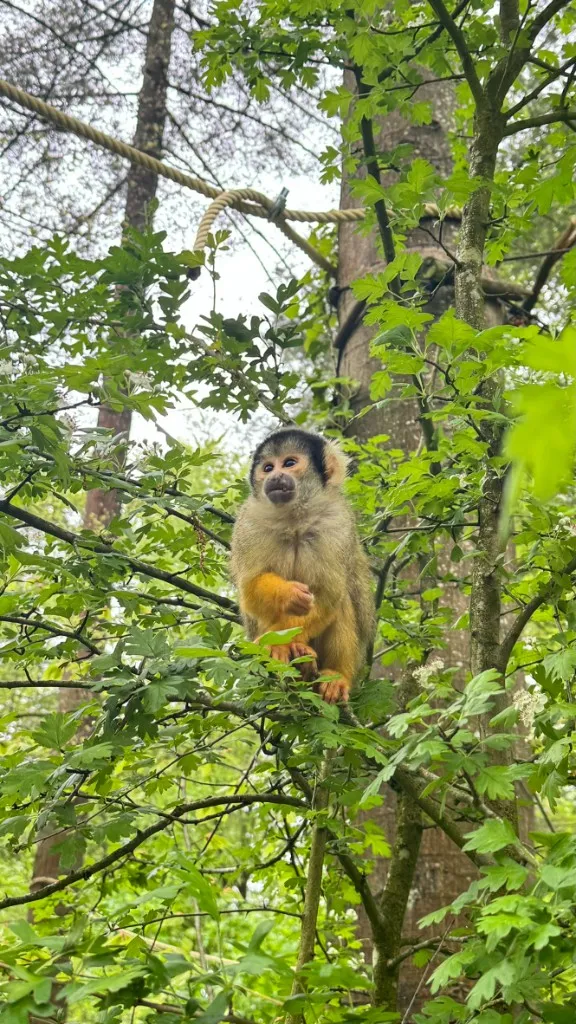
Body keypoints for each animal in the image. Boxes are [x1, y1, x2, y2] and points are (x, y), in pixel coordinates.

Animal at [230, 428, 375, 704]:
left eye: (289, 463)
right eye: (267, 467)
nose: (275, 476)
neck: (294, 518)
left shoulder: (337, 522)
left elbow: (329, 594)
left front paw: (284, 640)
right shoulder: (249, 521)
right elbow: (250, 589)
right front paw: (286, 601)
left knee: (343, 599)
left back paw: (334, 674)